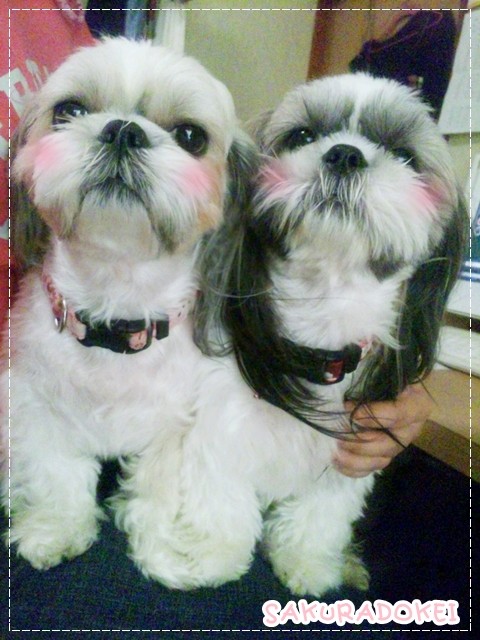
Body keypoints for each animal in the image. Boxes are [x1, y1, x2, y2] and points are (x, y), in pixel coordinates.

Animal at [0, 37, 253, 572]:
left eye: (190, 136)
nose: (123, 130)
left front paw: (163, 551)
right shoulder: (31, 402)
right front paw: (56, 527)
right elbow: (55, 473)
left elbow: (159, 491)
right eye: (69, 110)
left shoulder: (177, 423)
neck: (115, 316)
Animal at [122, 73, 467, 596]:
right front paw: (213, 557)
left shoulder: (346, 457)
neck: (317, 342)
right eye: (302, 136)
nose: (345, 154)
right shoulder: (220, 430)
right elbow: (221, 504)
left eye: (405, 156)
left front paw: (308, 563)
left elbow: (318, 518)